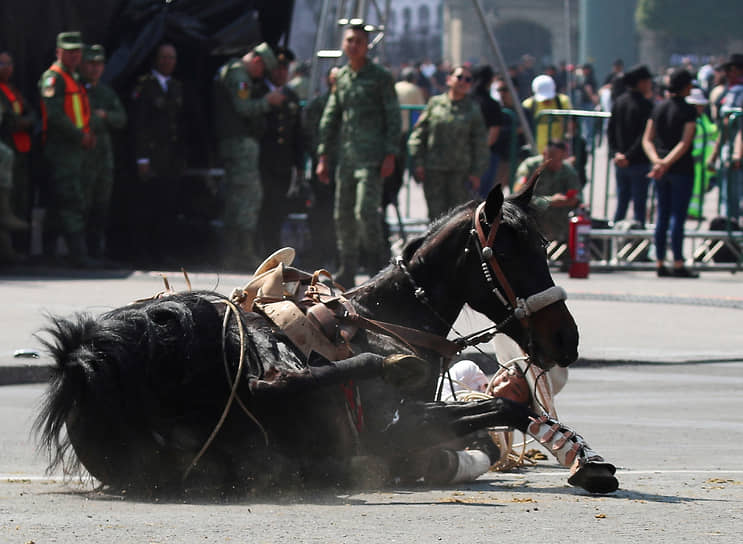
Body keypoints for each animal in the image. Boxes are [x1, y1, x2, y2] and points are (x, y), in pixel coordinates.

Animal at [36, 184, 616, 498]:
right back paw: (387, 368)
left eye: (544, 245)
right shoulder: (396, 431)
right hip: (216, 322)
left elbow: (502, 412)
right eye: (510, 252)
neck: (385, 322)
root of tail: (85, 363)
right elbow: (502, 407)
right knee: (273, 381)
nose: (565, 339)